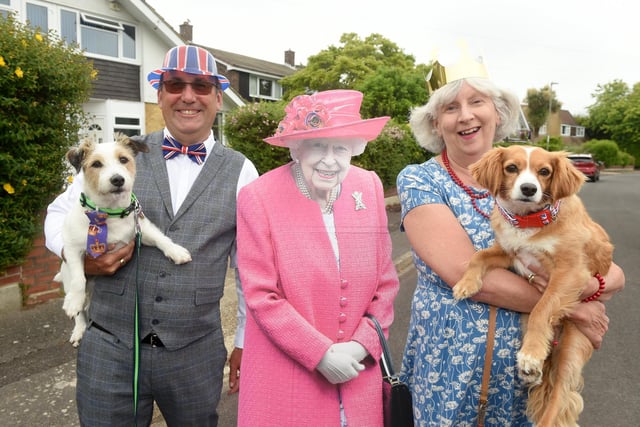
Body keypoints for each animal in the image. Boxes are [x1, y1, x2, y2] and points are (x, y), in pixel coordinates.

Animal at [452, 145, 612, 426]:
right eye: (511, 168)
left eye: (544, 171)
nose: (528, 189)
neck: (531, 222)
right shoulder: (508, 253)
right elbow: (478, 256)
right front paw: (466, 284)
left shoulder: (571, 272)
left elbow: (543, 309)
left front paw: (531, 353)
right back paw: (533, 370)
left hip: (572, 347)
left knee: (558, 398)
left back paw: (533, 360)